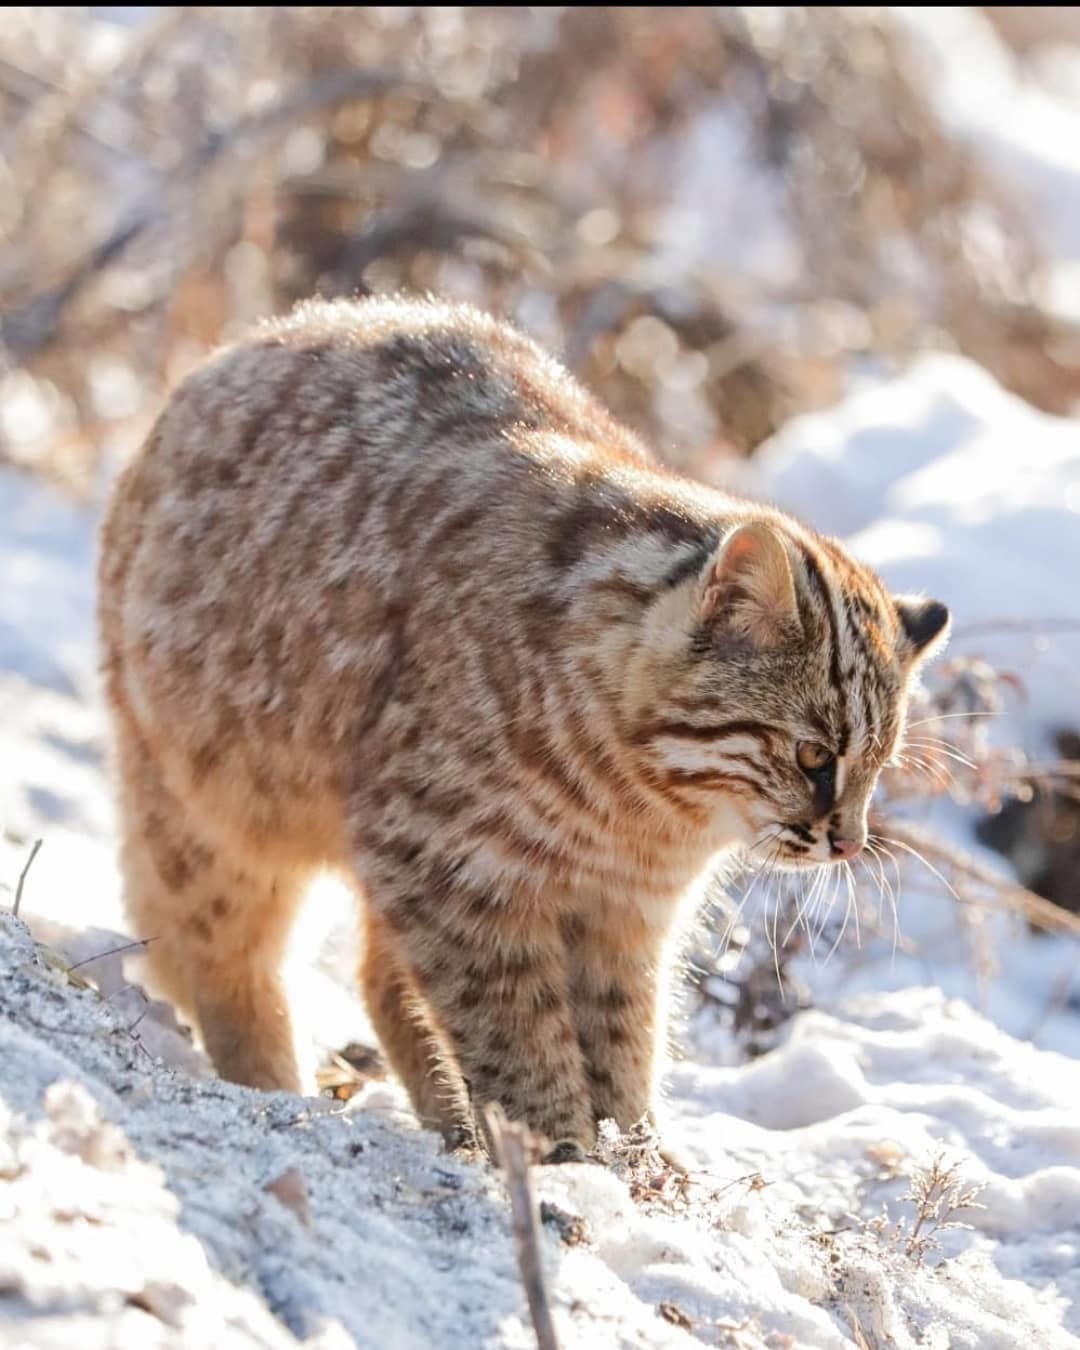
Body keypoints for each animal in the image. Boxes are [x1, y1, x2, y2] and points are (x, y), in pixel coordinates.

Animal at [97, 298, 950, 1161]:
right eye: (813, 754)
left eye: (878, 767)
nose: (849, 843)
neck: (639, 809)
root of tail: (238, 348)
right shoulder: (456, 865)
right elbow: (518, 1038)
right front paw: (564, 1157)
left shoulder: (624, 915)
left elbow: (624, 1040)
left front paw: (635, 1162)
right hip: (213, 802)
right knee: (215, 952)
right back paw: (273, 1086)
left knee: (375, 976)